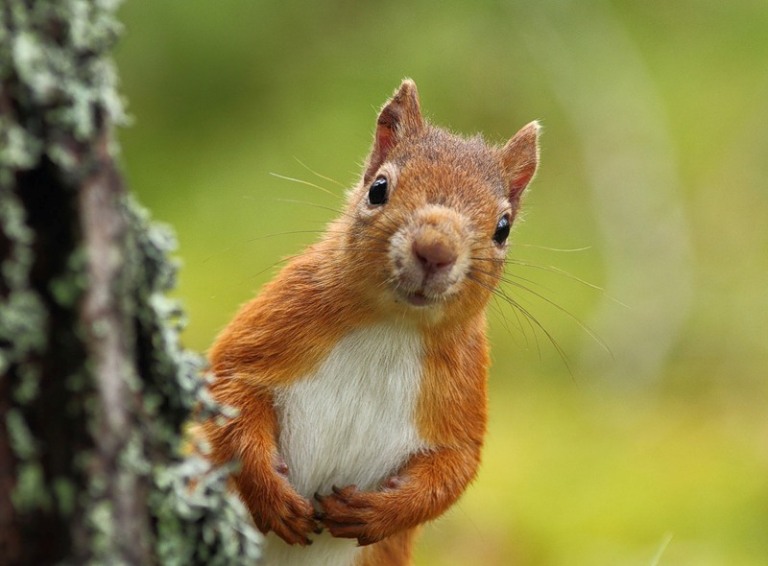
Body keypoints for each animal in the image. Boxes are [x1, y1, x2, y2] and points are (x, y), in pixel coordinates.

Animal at [201, 81, 544, 566]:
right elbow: (229, 386)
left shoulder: (464, 385)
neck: (392, 327)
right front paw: (271, 494)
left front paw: (377, 513)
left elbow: (456, 466)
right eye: (378, 188)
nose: (435, 249)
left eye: (503, 227)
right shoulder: (278, 319)